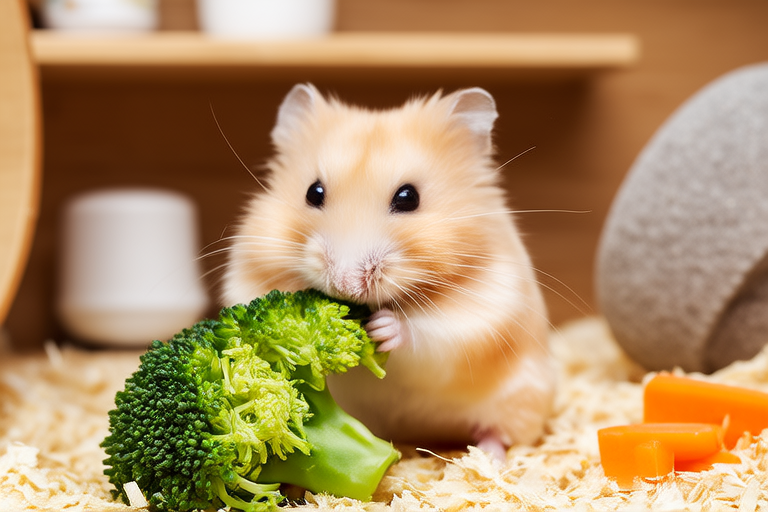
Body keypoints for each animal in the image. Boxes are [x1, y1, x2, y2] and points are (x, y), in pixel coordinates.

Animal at [221, 84, 555, 457]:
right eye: (313, 192)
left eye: (408, 197)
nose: (345, 284)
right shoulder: (247, 277)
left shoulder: (485, 309)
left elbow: (431, 336)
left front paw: (383, 327)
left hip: (521, 401)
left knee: (503, 435)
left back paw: (484, 457)